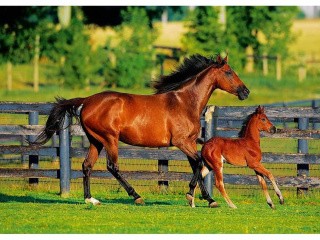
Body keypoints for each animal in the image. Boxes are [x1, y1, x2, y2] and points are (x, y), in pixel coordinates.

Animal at [30, 54, 250, 206]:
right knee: (112, 166)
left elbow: (197, 165)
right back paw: (136, 196)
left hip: (96, 141)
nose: (246, 92)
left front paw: (208, 199)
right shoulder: (181, 142)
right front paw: (193, 196)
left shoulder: (188, 142)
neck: (185, 102)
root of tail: (87, 100)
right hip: (109, 139)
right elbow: (199, 163)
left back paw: (90, 200)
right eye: (229, 72)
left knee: (87, 165)